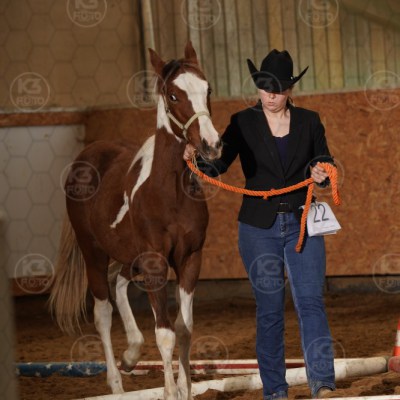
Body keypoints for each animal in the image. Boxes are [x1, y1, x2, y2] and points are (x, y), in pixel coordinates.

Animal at [49, 41, 222, 399]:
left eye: (208, 88)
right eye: (173, 95)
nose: (212, 145)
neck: (168, 191)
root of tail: (86, 156)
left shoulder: (189, 259)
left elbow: (184, 328)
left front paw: (185, 389)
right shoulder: (155, 262)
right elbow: (166, 334)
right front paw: (171, 392)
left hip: (131, 258)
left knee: (121, 282)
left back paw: (131, 354)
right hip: (94, 254)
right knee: (102, 313)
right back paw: (116, 383)